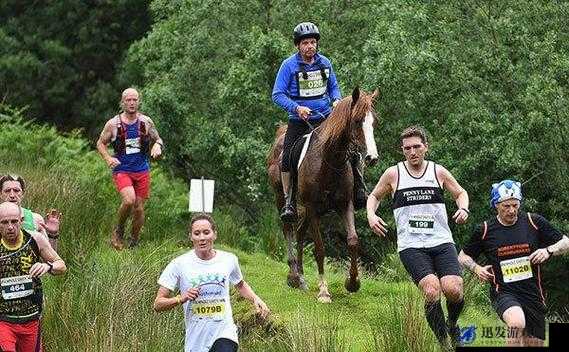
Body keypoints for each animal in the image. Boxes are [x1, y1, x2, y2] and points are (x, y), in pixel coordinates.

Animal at [266, 88, 378, 302]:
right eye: (357, 120)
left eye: (373, 122)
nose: (372, 158)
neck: (329, 160)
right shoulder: (311, 207)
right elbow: (319, 248)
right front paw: (324, 291)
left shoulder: (345, 204)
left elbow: (353, 241)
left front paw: (352, 283)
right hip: (282, 199)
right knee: (288, 229)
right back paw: (293, 275)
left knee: (300, 232)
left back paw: (301, 278)